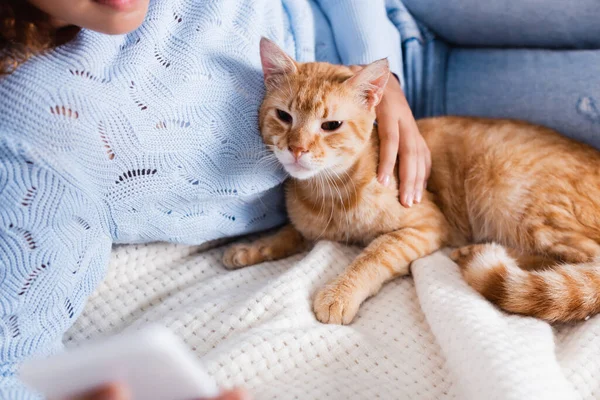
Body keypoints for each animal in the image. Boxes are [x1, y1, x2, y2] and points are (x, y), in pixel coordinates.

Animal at [223, 38, 600, 324]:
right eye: (283, 116)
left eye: (331, 125)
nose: (297, 149)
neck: (327, 194)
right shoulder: (308, 226)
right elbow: (288, 232)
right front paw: (251, 247)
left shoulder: (425, 225)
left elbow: (374, 255)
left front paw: (340, 292)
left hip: (515, 199)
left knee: (584, 259)